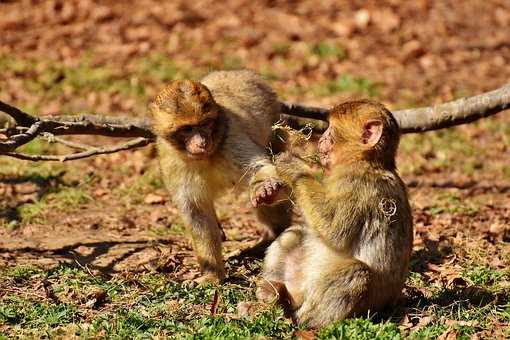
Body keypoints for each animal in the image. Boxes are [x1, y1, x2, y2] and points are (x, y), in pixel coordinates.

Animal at [148, 69, 290, 284]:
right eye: (187, 129)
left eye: (204, 124)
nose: (201, 142)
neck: (205, 157)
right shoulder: (171, 161)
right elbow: (196, 212)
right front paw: (212, 275)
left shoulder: (231, 139)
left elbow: (260, 169)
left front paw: (265, 190)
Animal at [255, 99, 414, 328]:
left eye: (330, 130)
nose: (321, 139)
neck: (363, 161)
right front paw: (268, 191)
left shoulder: (357, 185)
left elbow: (335, 231)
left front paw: (293, 165)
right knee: (294, 233)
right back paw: (275, 293)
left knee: (357, 272)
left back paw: (300, 320)